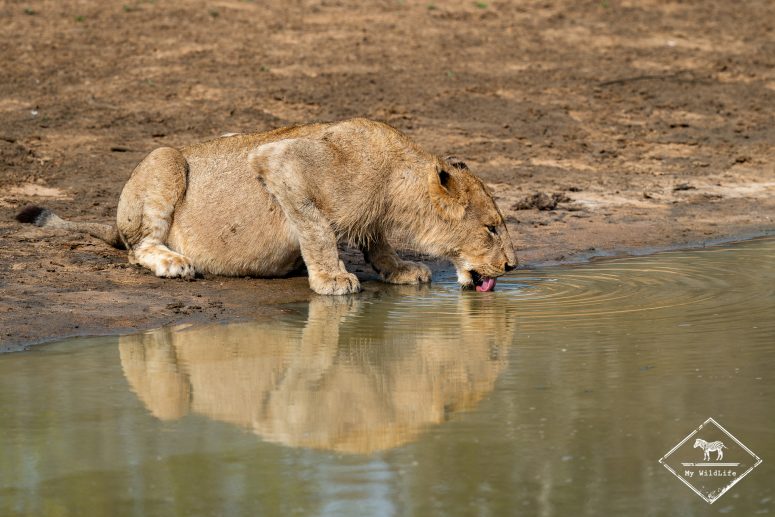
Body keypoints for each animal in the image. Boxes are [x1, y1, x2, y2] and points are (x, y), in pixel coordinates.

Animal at [16, 118, 517, 294]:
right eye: (492, 228)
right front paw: (332, 279)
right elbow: (316, 229)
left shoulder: (371, 216)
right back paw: (173, 263)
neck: (396, 183)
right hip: (167, 158)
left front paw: (397, 269)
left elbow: (376, 242)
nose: (512, 266)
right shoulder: (279, 159)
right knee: (138, 247)